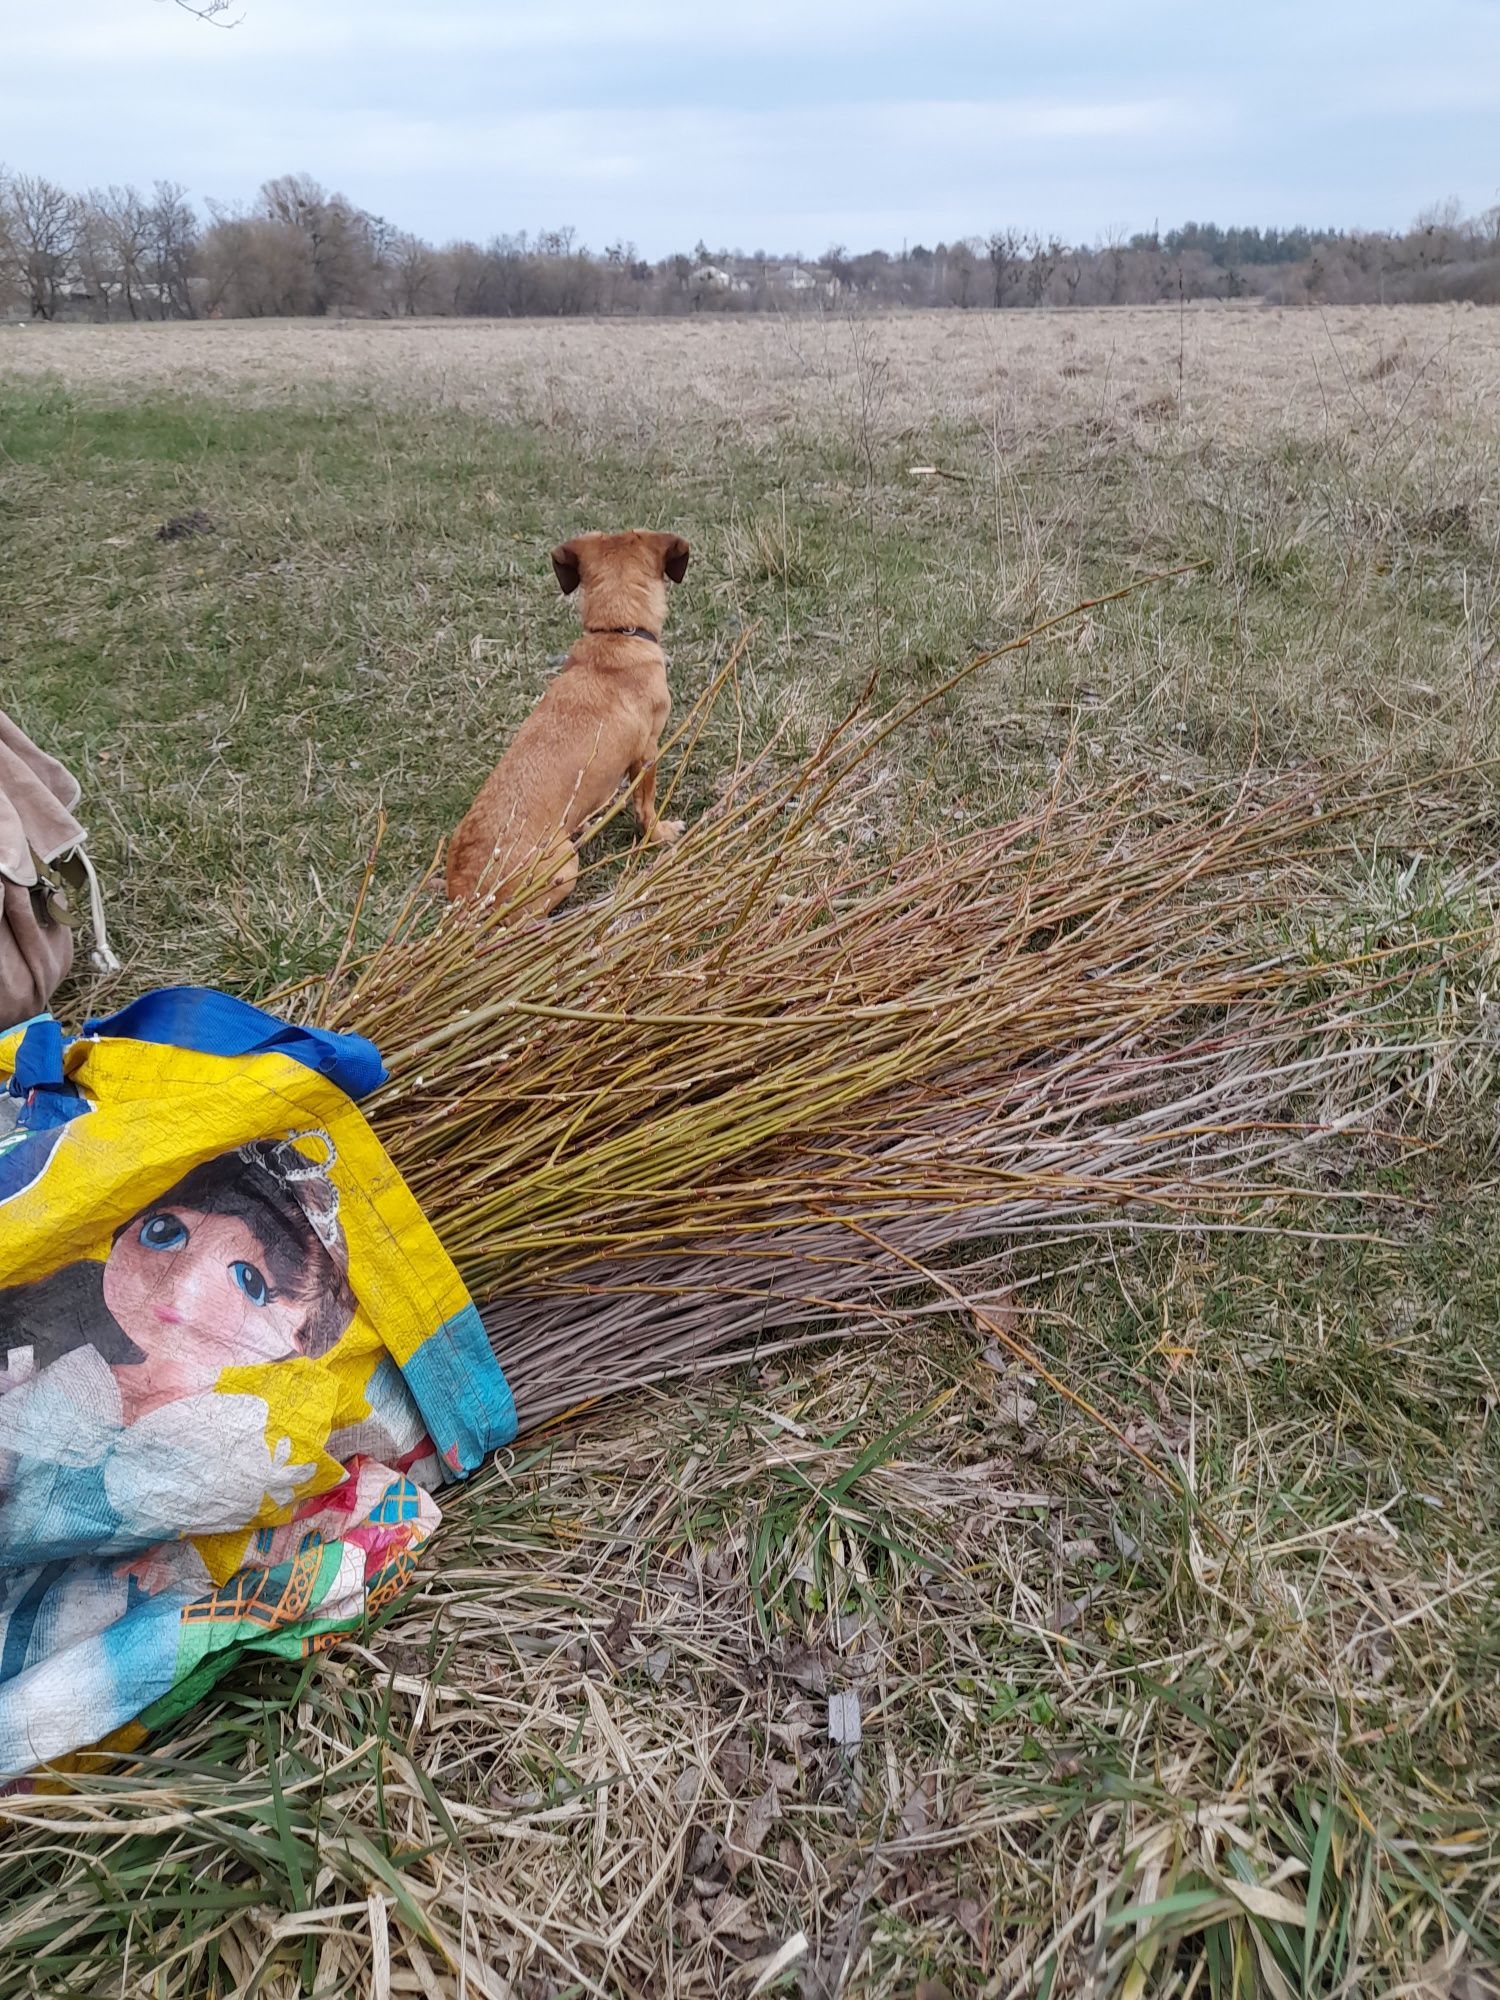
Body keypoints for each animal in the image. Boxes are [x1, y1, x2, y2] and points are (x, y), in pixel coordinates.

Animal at [446, 528, 692, 912]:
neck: (616, 632)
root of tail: (466, 892)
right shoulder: (648, 751)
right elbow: (646, 807)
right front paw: (661, 833)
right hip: (564, 866)